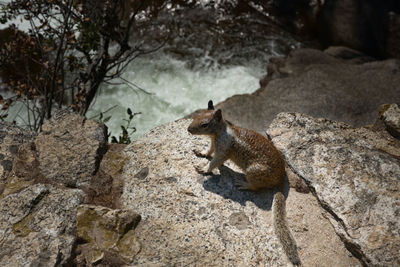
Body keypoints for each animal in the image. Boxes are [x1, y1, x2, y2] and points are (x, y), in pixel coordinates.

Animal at [188, 100, 300, 266]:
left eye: (204, 124)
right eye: (196, 115)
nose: (188, 129)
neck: (221, 132)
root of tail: (281, 178)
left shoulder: (223, 150)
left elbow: (215, 161)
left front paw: (204, 168)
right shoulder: (214, 143)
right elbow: (209, 151)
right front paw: (201, 152)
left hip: (253, 171)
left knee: (256, 187)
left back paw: (243, 183)